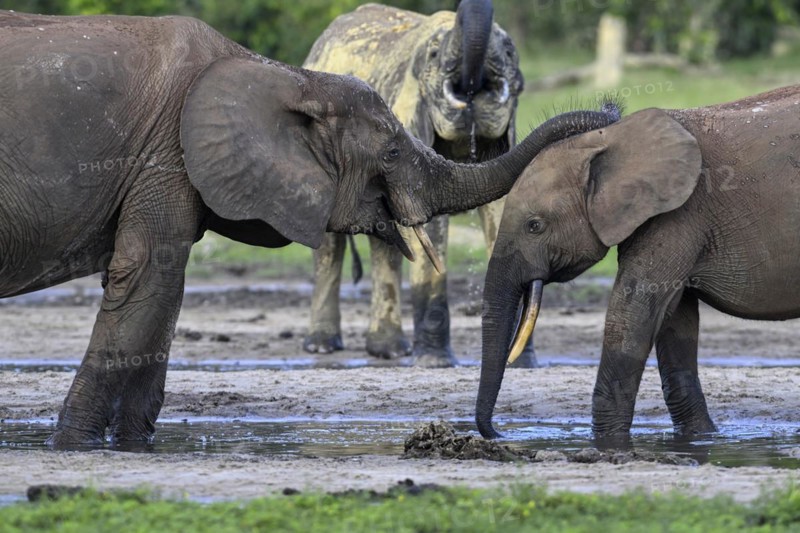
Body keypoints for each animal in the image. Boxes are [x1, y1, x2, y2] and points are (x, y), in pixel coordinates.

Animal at [302, 0, 530, 367]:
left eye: (509, 52)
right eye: (434, 55)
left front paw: (520, 363)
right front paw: (435, 363)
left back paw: (387, 351)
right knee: (330, 245)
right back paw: (323, 347)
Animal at [475, 85, 800, 442]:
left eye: (535, 226)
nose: (498, 433)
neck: (612, 139)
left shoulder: (678, 214)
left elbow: (632, 315)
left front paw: (607, 443)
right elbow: (675, 320)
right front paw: (698, 439)